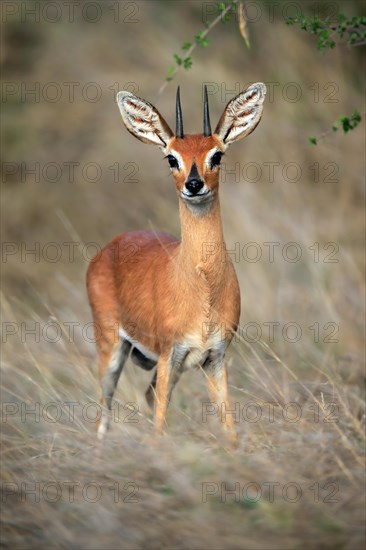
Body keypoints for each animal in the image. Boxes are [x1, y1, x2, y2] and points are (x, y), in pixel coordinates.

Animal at [87, 83, 268, 444]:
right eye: (172, 157)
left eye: (217, 155)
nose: (194, 184)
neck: (203, 288)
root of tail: (110, 246)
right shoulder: (172, 354)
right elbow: (159, 428)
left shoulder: (215, 358)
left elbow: (229, 428)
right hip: (111, 347)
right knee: (103, 412)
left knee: (144, 396)